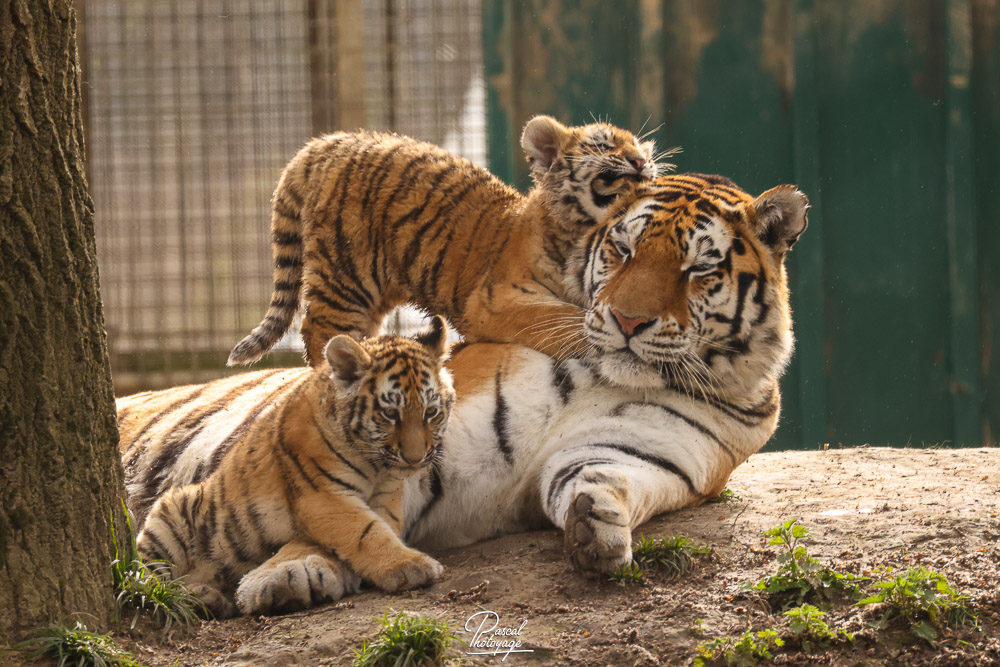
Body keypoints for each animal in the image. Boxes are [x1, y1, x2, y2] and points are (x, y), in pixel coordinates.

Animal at [117, 317, 455, 618]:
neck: (376, 467)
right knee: (147, 575)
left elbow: (378, 529)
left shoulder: (384, 500)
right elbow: (365, 532)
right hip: (172, 515)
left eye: (431, 412)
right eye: (390, 414)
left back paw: (207, 598)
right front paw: (414, 566)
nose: (416, 458)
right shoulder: (322, 495)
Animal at [226, 115, 662, 368]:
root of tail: (326, 142)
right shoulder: (495, 301)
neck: (584, 234)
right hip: (346, 279)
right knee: (319, 330)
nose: (642, 161)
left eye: (639, 149)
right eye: (605, 144)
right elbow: (556, 316)